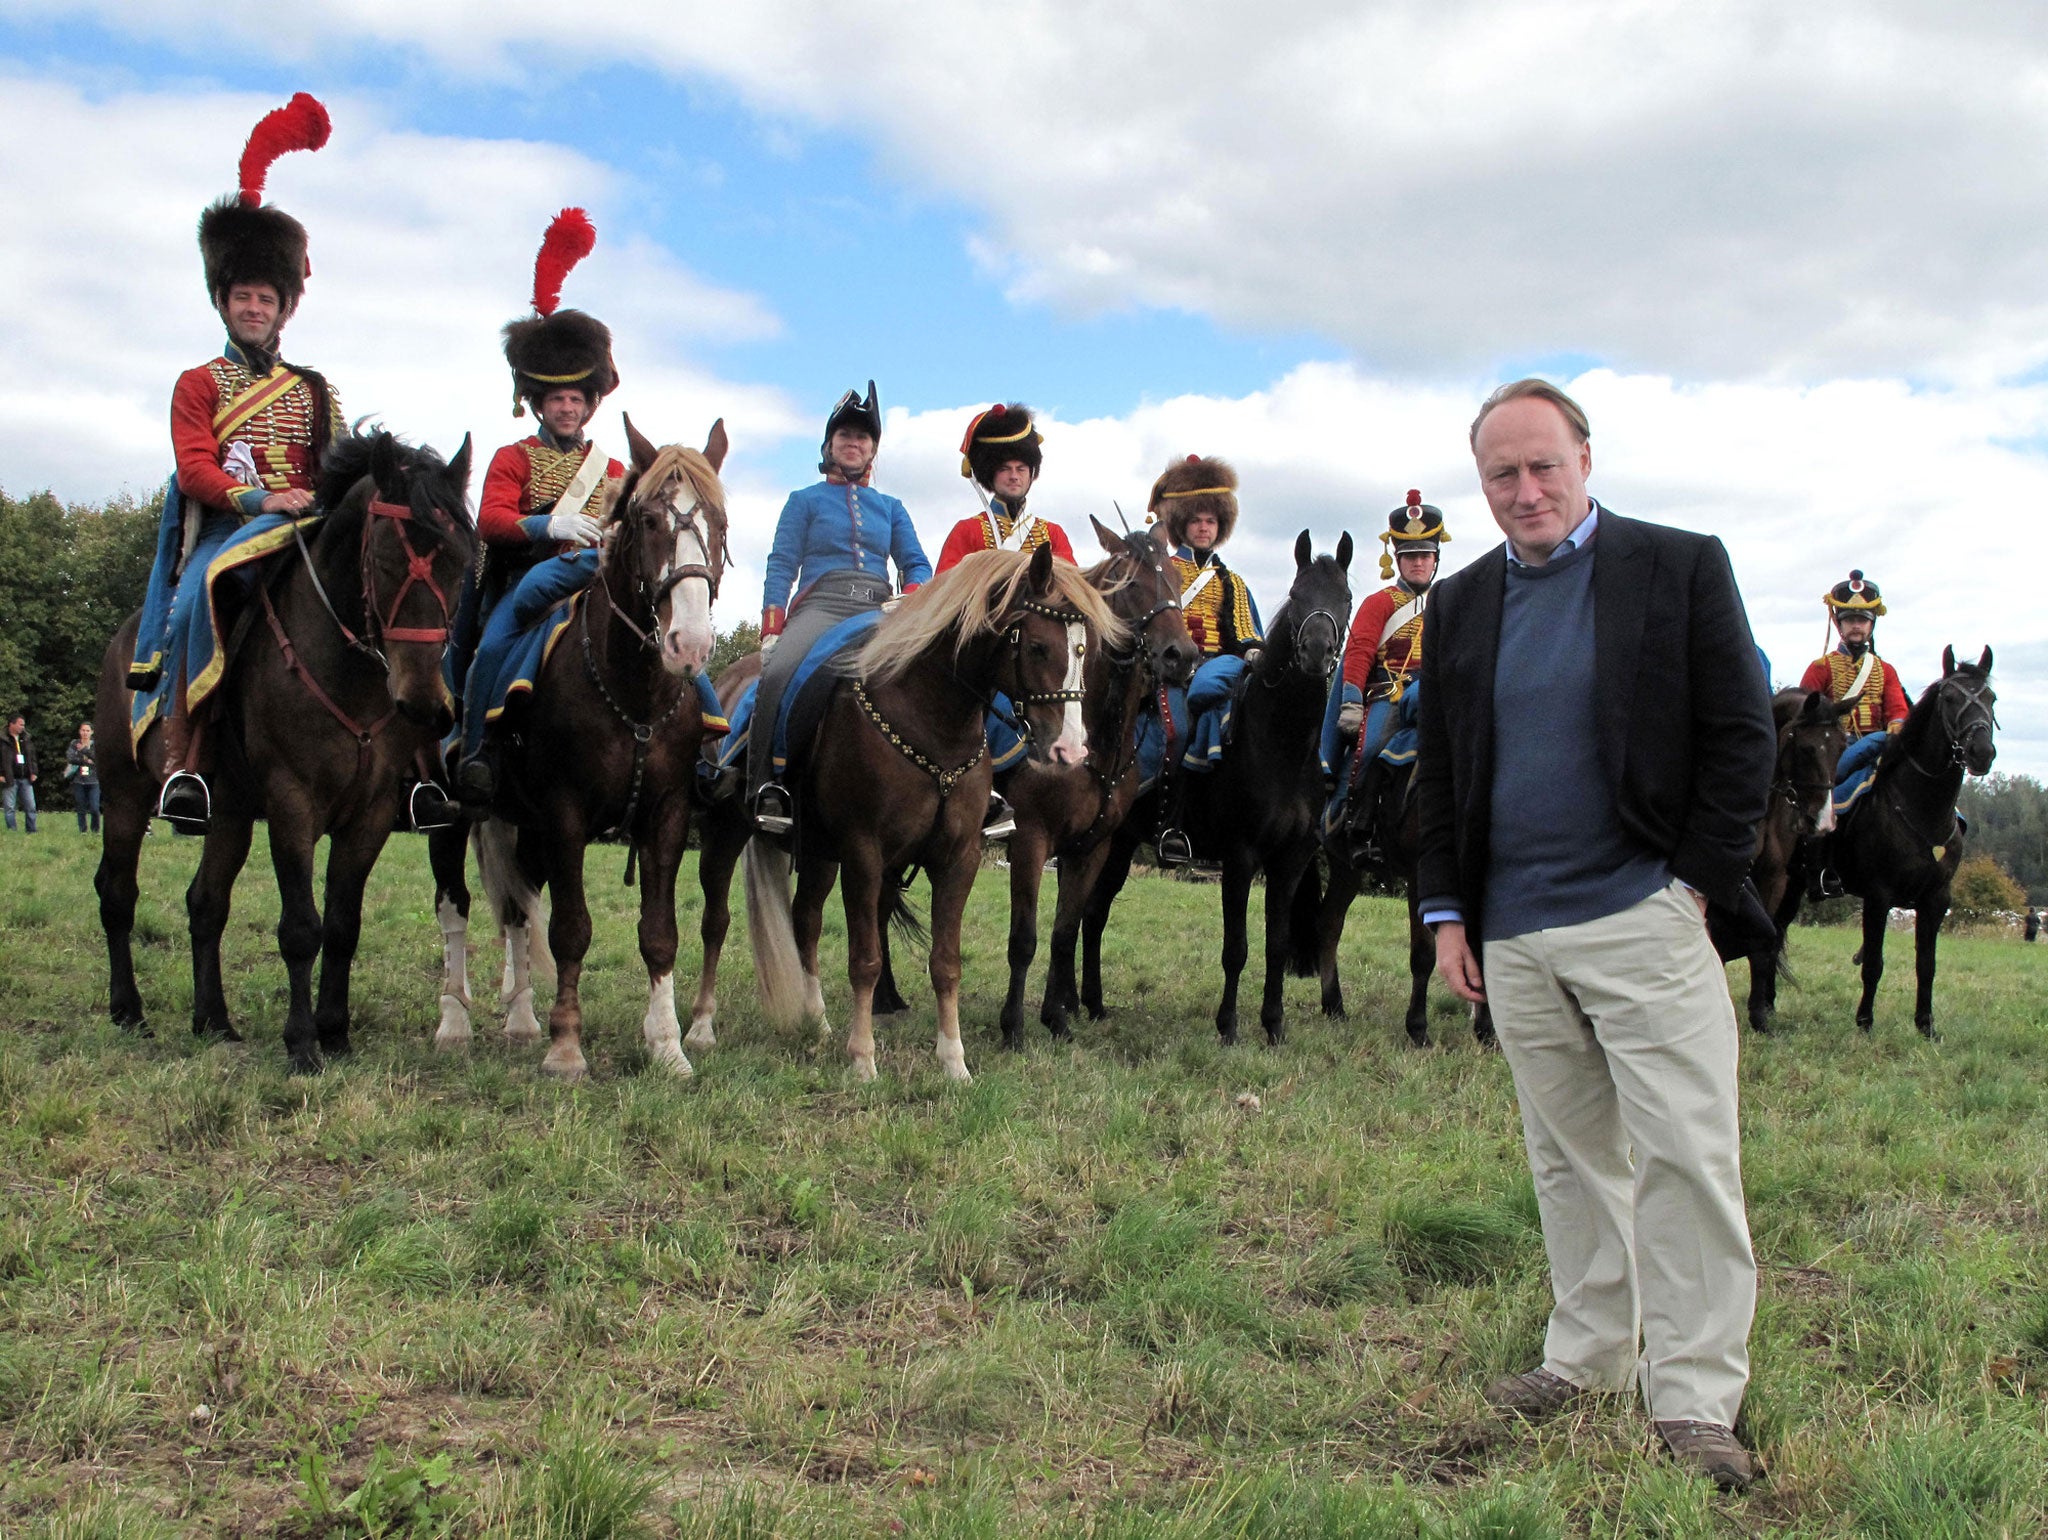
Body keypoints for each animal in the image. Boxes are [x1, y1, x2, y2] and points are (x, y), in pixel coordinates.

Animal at [94, 421, 473, 1073]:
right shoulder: (292, 804)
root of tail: (124, 641)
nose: (425, 704)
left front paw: (335, 1032)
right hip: (124, 796)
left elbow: (343, 925)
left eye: (458, 564)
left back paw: (213, 1020)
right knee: (119, 894)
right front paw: (301, 1043)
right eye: (385, 559)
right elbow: (301, 926)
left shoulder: (370, 813)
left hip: (229, 812)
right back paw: (130, 1012)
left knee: (206, 902)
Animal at [423, 415, 729, 1073]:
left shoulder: (667, 814)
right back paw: (455, 1022)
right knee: (454, 905)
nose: (689, 645)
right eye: (648, 520)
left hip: (522, 824)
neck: (633, 697)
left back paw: (520, 1018)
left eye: (719, 522)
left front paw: (668, 1046)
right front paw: (567, 1048)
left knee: (516, 909)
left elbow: (658, 933)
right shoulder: (565, 813)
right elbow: (571, 929)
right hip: (453, 814)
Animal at [741, 548, 1122, 1073]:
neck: (930, 720)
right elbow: (865, 958)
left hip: (818, 852)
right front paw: (863, 1059)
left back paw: (816, 1022)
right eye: (1038, 646)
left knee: (806, 919)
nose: (1070, 750)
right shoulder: (863, 853)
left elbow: (946, 962)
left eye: (1086, 651)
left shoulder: (958, 857)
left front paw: (953, 1060)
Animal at [1744, 688, 1859, 1036]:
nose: (1822, 822)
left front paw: (1759, 1017)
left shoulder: (1774, 880)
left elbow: (1764, 943)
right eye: (1807, 748)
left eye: (1842, 747)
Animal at [1835, 638, 1990, 1036]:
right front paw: (1864, 1023)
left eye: (1991, 698)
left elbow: (1927, 966)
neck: (1920, 808)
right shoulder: (1878, 897)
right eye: (1949, 698)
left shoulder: (1935, 900)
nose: (1982, 752)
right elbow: (1873, 963)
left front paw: (1925, 1025)